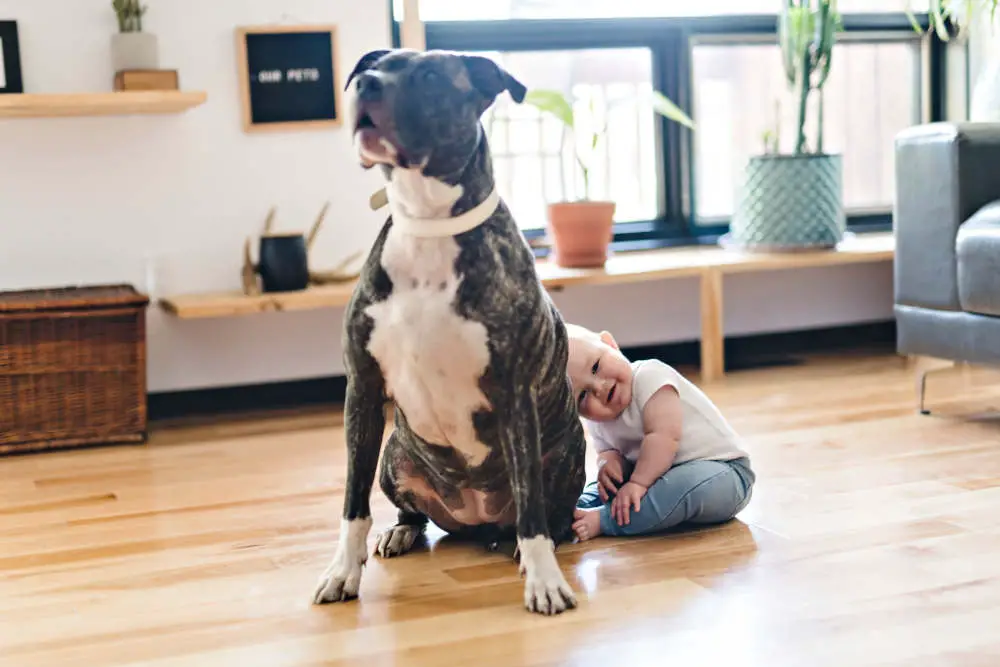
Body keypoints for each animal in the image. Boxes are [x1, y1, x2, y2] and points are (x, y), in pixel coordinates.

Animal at [312, 49, 588, 620]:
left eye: (431, 77)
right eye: (372, 68)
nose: (366, 85)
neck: (427, 223)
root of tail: (475, 519)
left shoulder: (514, 394)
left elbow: (532, 509)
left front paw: (545, 581)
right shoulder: (362, 390)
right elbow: (352, 503)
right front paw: (343, 572)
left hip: (567, 451)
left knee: (545, 513)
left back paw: (532, 546)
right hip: (394, 456)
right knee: (412, 512)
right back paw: (401, 532)